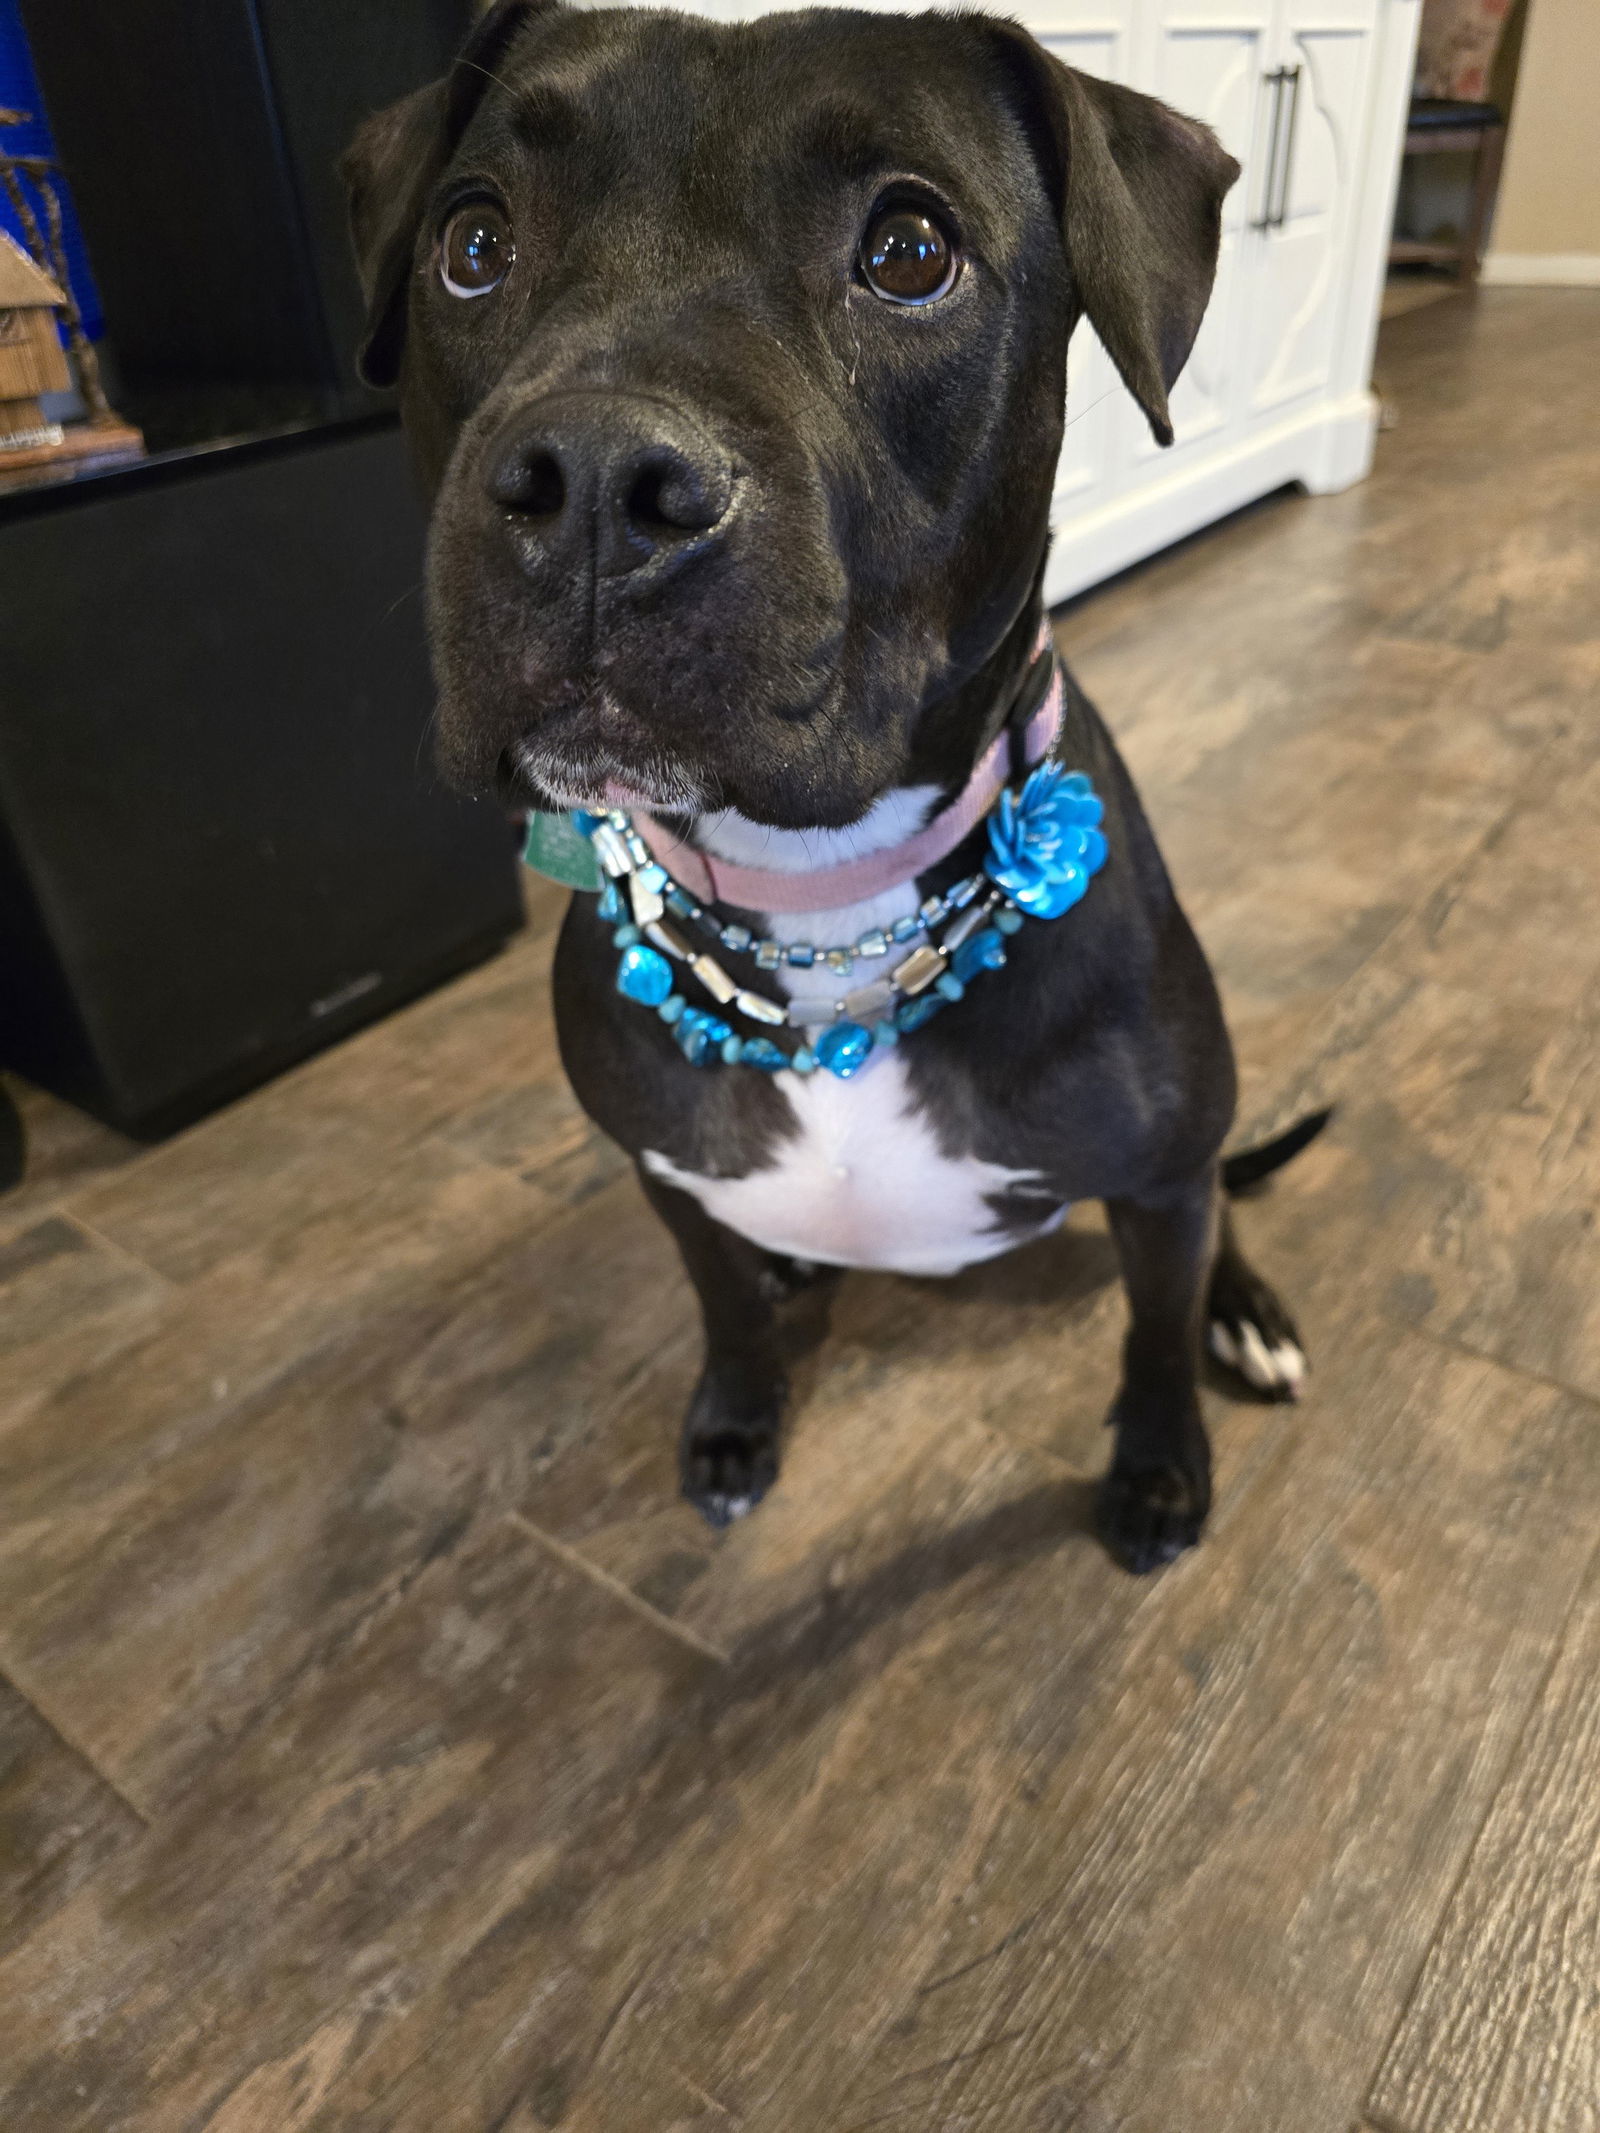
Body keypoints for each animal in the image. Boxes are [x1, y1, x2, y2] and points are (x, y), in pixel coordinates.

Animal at [349, 0, 1331, 1569]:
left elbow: (1153, 1336)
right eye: (475, 241)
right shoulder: (673, 1179)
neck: (823, 889)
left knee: (1215, 1234)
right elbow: (724, 1306)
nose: (593, 474)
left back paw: (1246, 1315)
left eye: (910, 251)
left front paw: (1161, 1465)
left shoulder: (1161, 1182)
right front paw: (739, 1417)